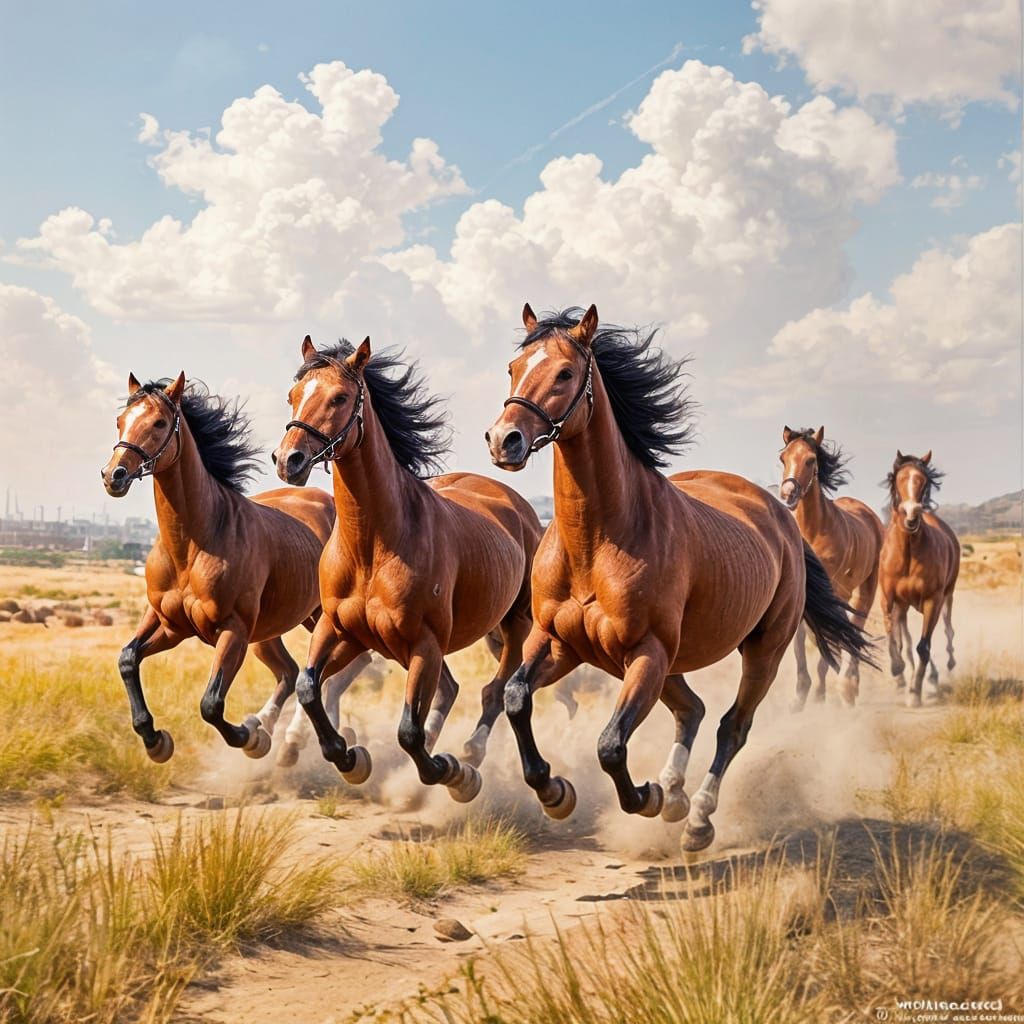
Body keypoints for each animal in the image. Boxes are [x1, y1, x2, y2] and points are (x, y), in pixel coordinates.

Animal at [100, 373, 371, 762]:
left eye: (159, 423)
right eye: (121, 420)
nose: (114, 476)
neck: (193, 545)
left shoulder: (233, 631)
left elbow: (211, 704)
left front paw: (248, 737)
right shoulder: (168, 623)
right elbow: (127, 659)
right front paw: (154, 740)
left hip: (322, 618)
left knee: (333, 671)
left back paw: (301, 739)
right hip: (281, 626)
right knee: (292, 672)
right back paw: (277, 728)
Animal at [273, 336, 543, 800]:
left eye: (339, 397)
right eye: (294, 395)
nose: (289, 460)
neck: (374, 544)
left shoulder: (424, 644)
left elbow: (408, 732)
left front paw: (450, 772)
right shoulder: (341, 630)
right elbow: (309, 687)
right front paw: (348, 757)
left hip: (514, 625)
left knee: (492, 692)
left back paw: (469, 762)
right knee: (453, 689)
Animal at [485, 305, 873, 852]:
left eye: (564, 373)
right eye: (513, 368)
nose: (504, 440)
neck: (597, 541)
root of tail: (780, 516)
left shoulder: (646, 653)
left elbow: (610, 745)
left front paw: (644, 797)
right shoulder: (557, 642)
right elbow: (516, 699)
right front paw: (555, 791)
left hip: (761, 650)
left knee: (732, 727)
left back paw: (696, 819)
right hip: (667, 665)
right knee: (692, 710)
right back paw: (674, 794)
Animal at [779, 426, 884, 708]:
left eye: (810, 460)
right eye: (783, 458)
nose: (788, 495)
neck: (815, 530)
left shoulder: (832, 591)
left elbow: (829, 636)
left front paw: (820, 691)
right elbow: (802, 640)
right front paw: (801, 694)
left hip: (862, 589)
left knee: (856, 624)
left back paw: (849, 684)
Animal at [879, 451, 959, 707]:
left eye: (922, 480)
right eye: (900, 479)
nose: (912, 517)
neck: (907, 554)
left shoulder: (933, 601)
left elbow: (923, 647)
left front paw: (915, 692)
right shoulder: (888, 598)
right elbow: (894, 640)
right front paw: (898, 672)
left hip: (946, 597)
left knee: (947, 630)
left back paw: (941, 670)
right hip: (904, 605)